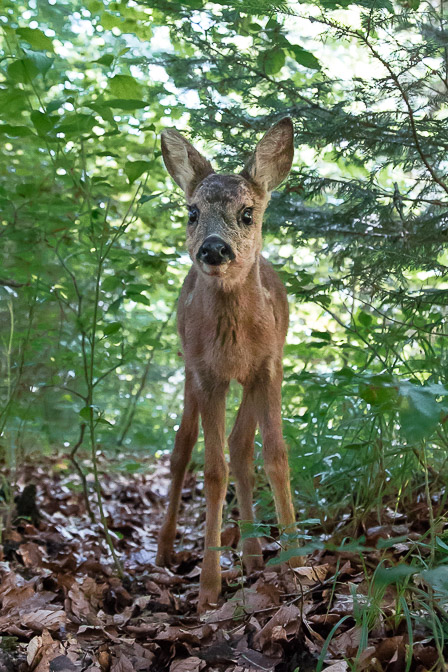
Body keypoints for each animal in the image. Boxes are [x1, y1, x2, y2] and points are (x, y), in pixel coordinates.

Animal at [156, 118, 300, 612]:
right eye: (192, 212)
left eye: (248, 213)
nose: (215, 249)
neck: (235, 342)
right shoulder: (206, 374)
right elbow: (212, 471)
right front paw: (208, 589)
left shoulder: (269, 365)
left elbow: (273, 455)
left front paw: (298, 563)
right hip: (186, 369)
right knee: (182, 448)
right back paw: (164, 553)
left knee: (241, 447)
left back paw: (254, 555)